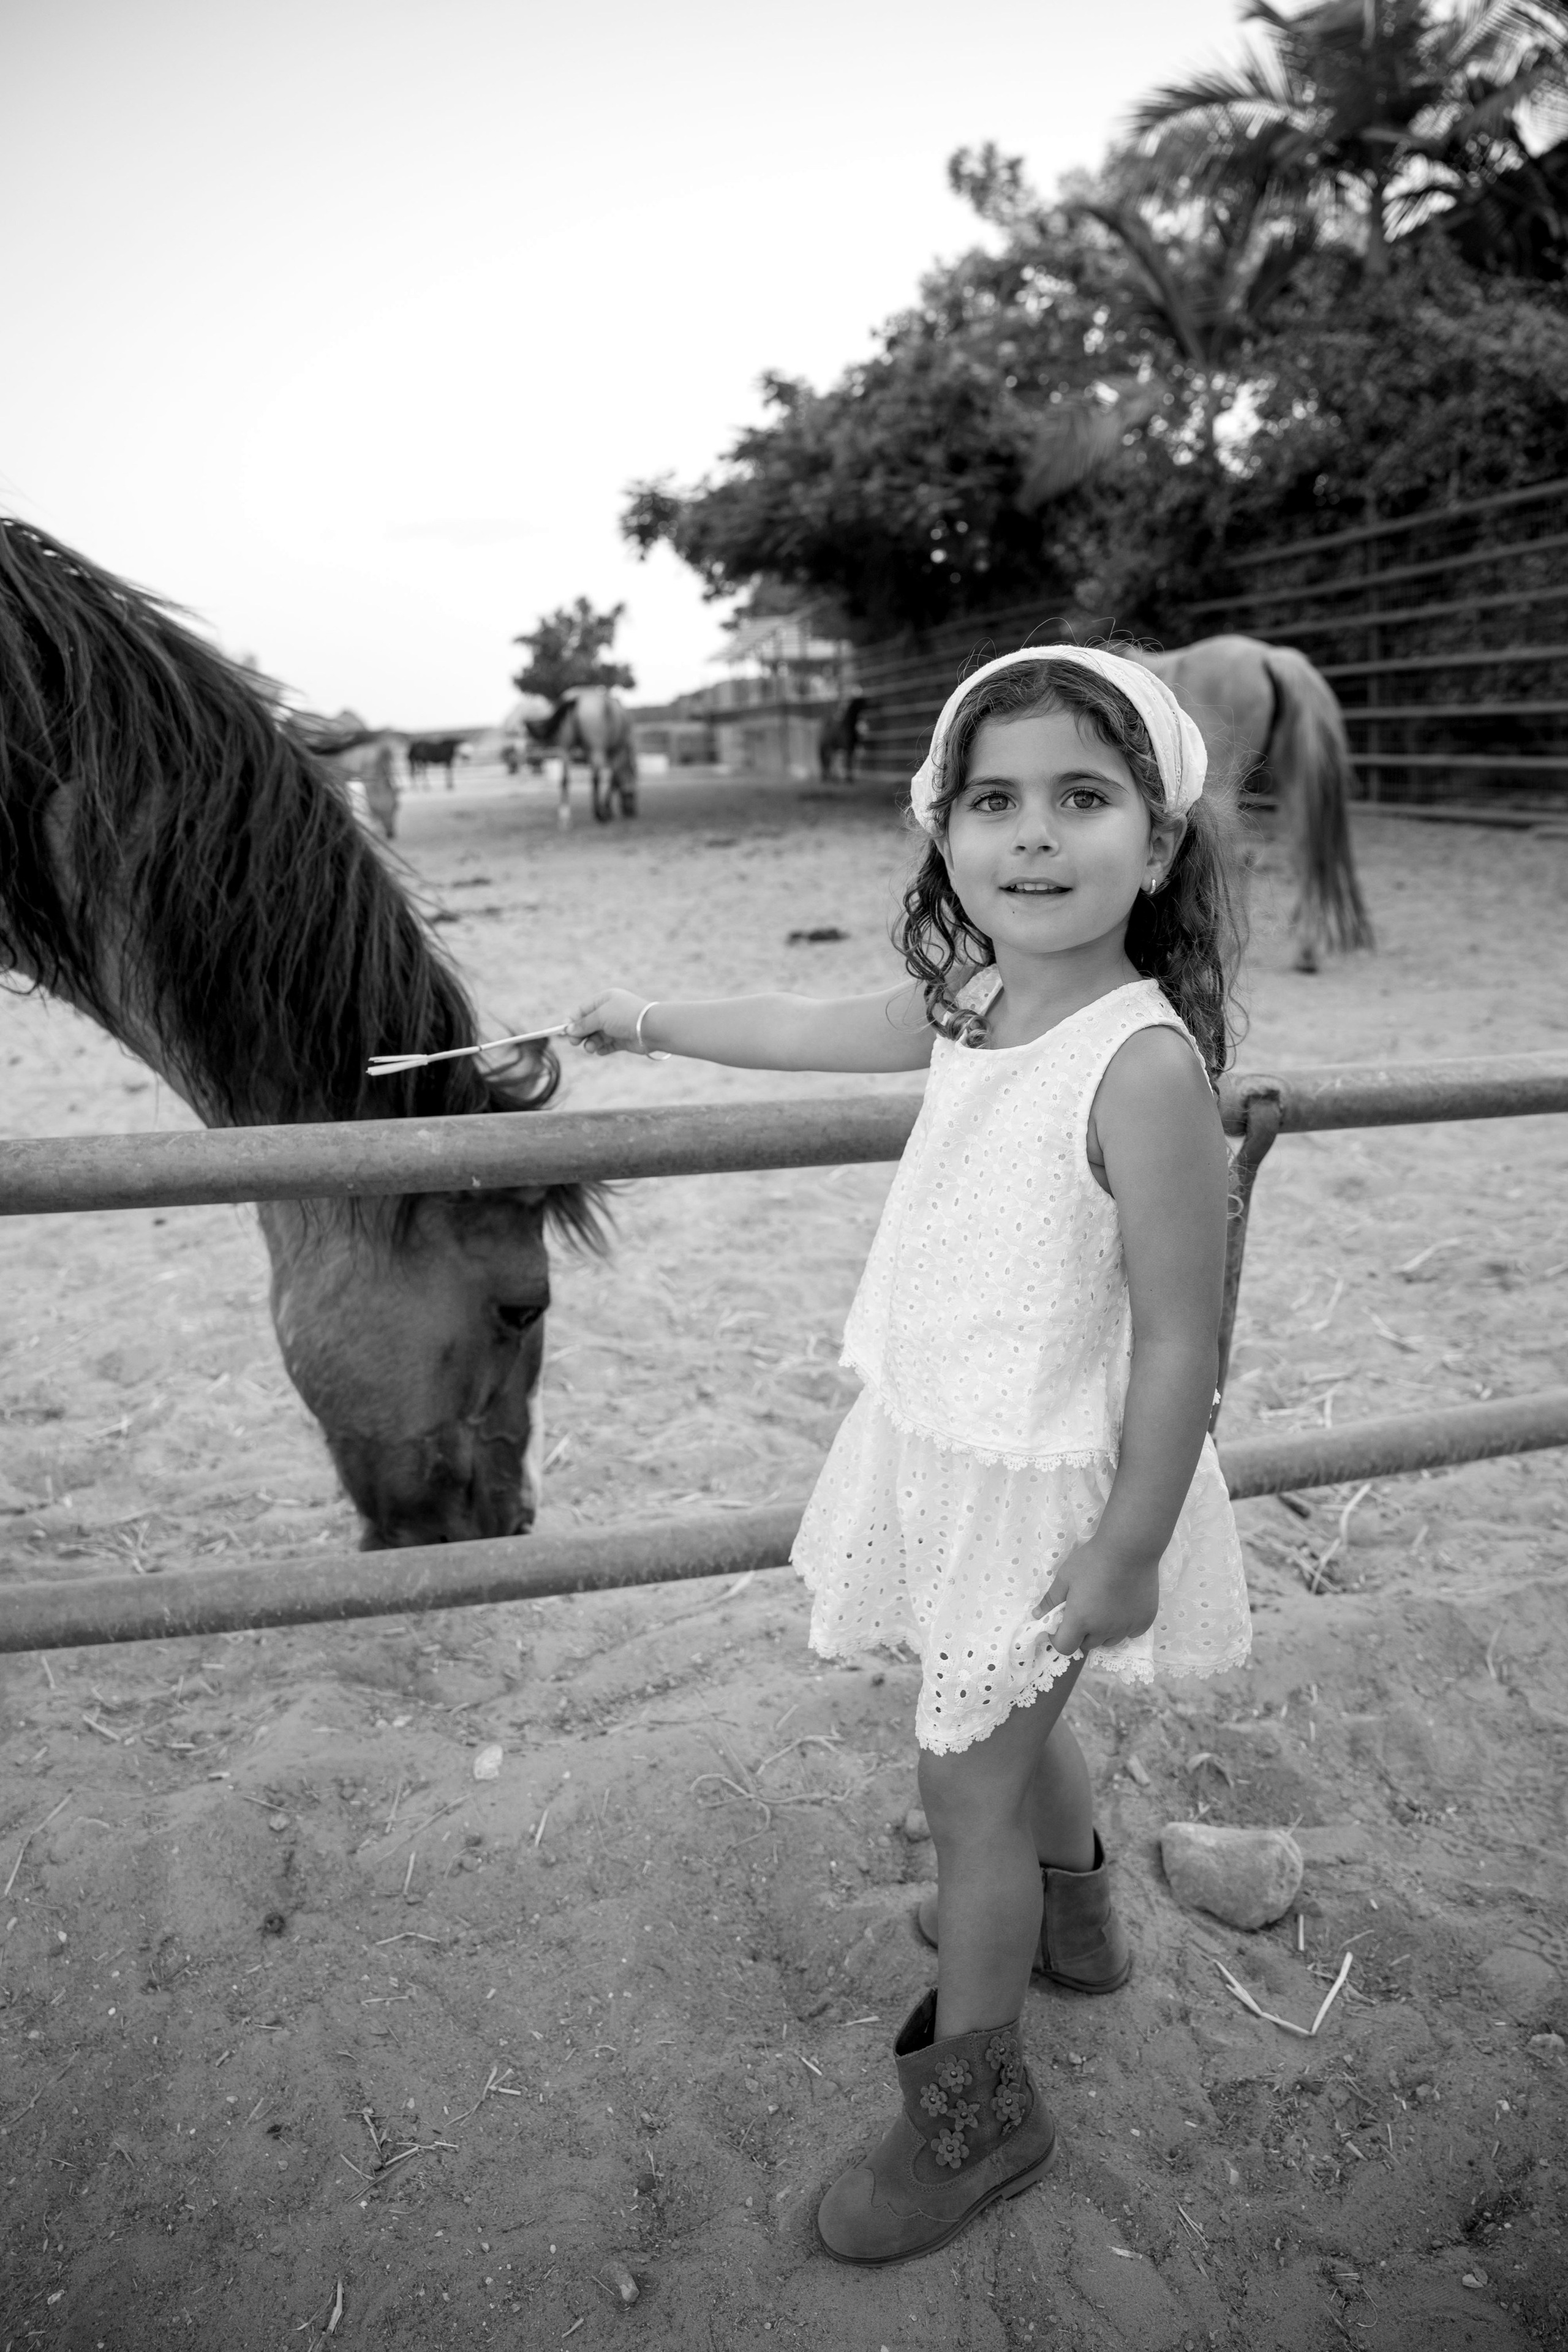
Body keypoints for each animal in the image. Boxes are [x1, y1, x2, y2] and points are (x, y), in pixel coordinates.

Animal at [526, 688, 638, 827]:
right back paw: (599, 814)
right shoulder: (617, 751)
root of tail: (576, 697)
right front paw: (607, 810)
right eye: (635, 783)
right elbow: (615, 779)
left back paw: (565, 818)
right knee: (595, 779)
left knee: (565, 779)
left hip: (565, 748)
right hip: (596, 749)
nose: (632, 811)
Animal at [818, 692, 867, 783]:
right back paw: (828, 778)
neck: (848, 726)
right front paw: (849, 780)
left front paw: (850, 778)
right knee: (826, 761)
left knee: (829, 761)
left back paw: (831, 778)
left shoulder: (852, 748)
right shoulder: (848, 748)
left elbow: (851, 762)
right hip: (826, 747)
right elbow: (848, 763)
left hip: (831, 748)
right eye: (862, 702)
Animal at [1132, 634, 1374, 973]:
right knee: (1304, 850)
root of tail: (1271, 656)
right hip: (1291, 780)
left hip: (1223, 785)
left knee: (1237, 856)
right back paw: (1307, 950)